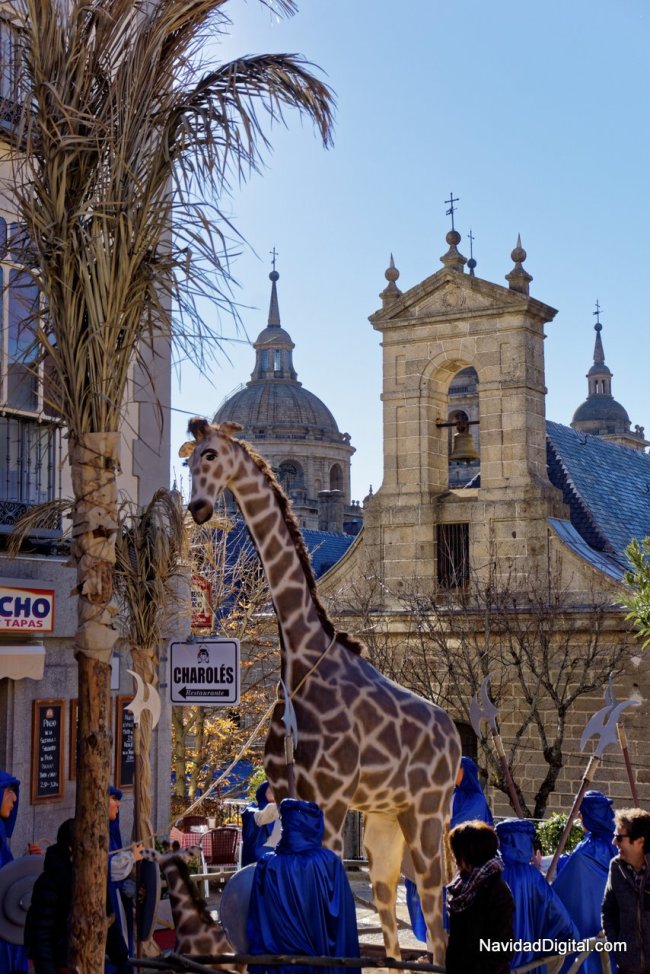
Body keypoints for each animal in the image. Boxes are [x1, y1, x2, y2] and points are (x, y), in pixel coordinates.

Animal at [179, 419, 462, 962]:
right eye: (188, 460)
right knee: (392, 918)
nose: (199, 508)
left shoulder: (330, 798)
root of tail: (455, 736)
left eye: (211, 455)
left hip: (427, 811)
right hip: (384, 819)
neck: (302, 653)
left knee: (436, 916)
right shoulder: (292, 793)